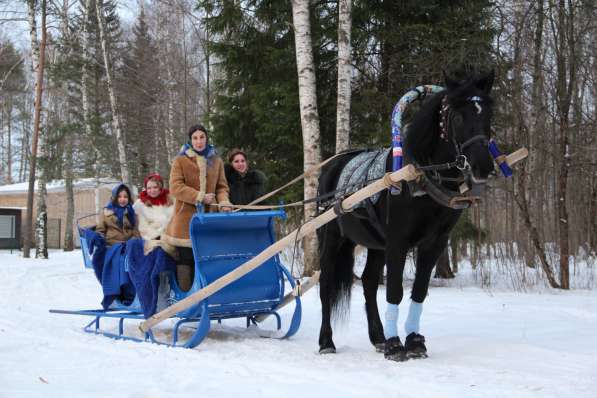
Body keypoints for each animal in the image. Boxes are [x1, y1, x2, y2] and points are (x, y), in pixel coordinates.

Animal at [316, 70, 494, 360]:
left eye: (489, 114)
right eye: (458, 117)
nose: (484, 166)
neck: (419, 176)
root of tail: (332, 165)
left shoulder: (434, 243)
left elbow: (419, 291)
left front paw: (413, 341)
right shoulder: (398, 241)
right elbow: (395, 290)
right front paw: (395, 345)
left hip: (376, 244)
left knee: (368, 282)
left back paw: (377, 337)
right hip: (331, 237)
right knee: (326, 284)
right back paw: (327, 342)